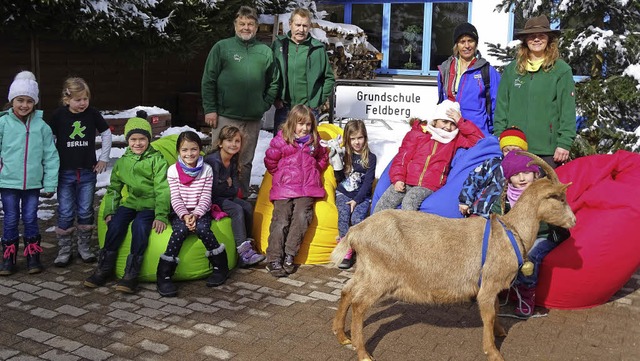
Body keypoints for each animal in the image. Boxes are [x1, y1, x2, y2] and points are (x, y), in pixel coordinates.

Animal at [332, 150, 576, 358]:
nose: (573, 221)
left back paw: (342, 336)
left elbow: (497, 309)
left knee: (347, 291)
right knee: (359, 305)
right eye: (560, 199)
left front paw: (500, 332)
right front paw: (493, 352)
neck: (510, 231)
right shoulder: (488, 285)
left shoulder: (494, 286)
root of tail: (357, 231)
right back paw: (363, 352)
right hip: (380, 276)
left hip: (366, 270)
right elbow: (488, 315)